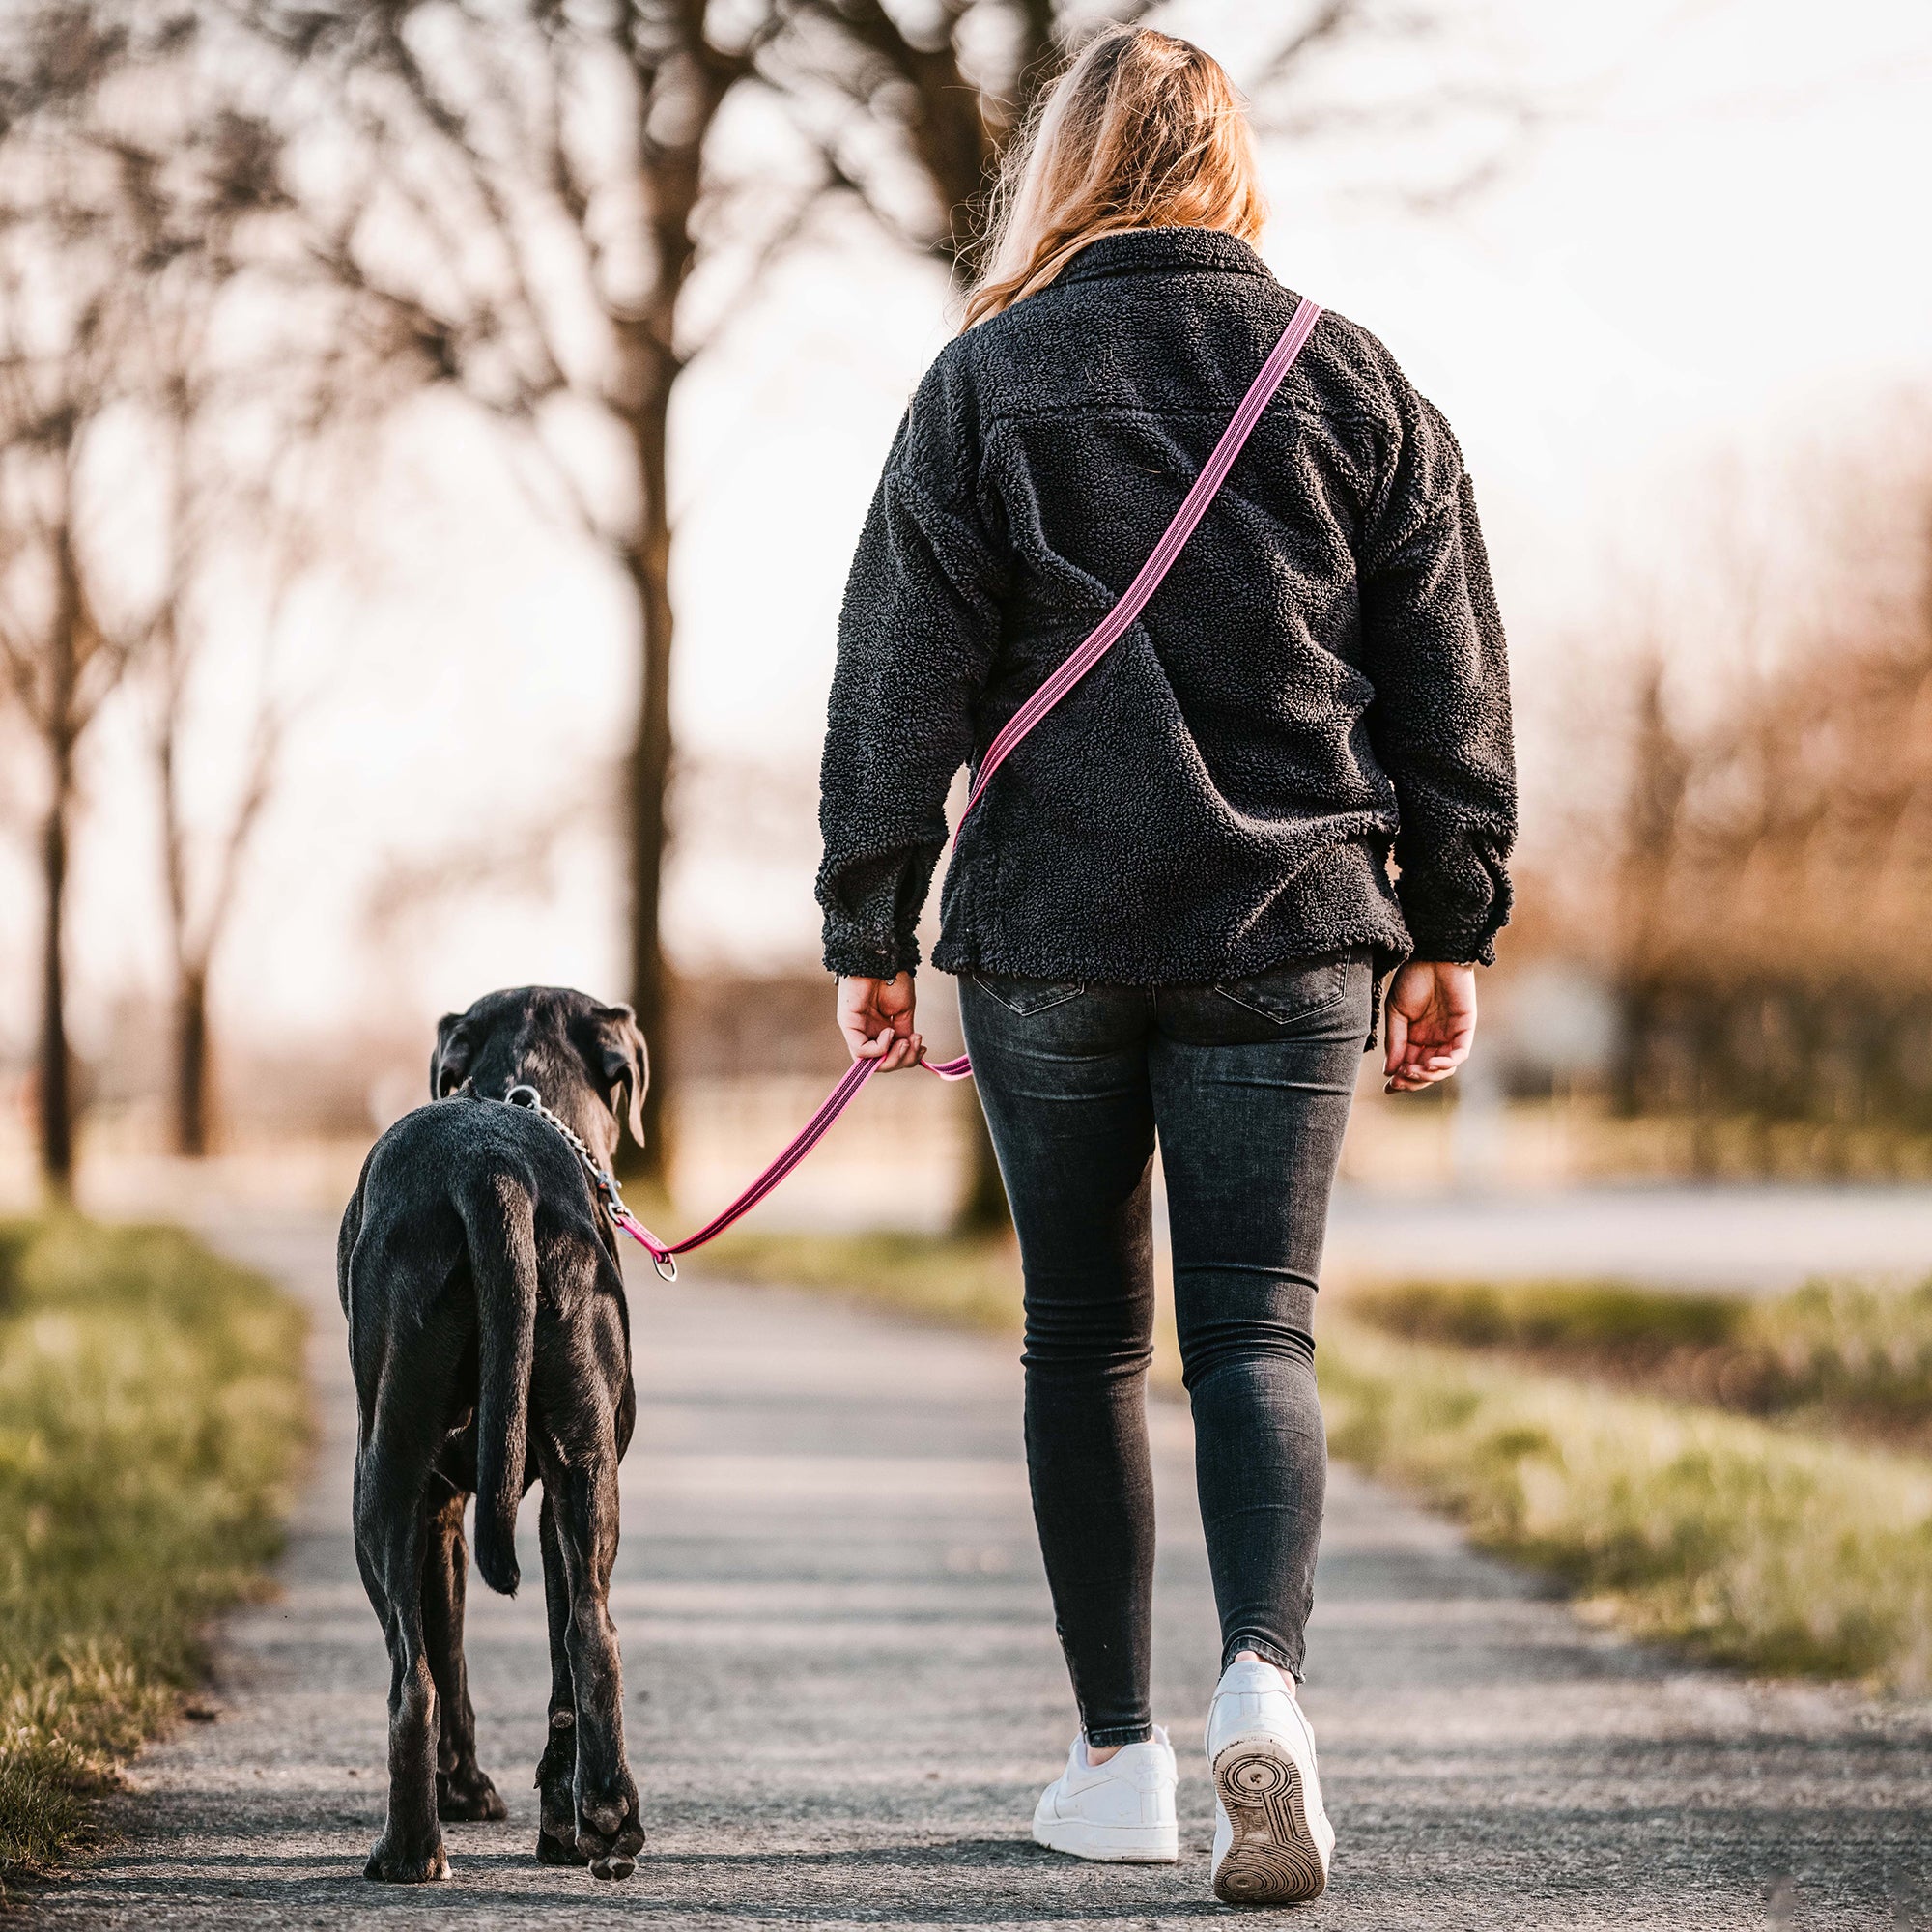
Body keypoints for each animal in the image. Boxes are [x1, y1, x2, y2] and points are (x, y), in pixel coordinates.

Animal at [338, 989, 649, 1878]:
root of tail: (492, 1169)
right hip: (582, 1467)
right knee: (588, 1635)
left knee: (416, 1675)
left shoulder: (442, 1509)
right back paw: (598, 1819)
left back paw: (414, 1848)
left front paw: (469, 1793)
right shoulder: (517, 1501)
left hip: (384, 1477)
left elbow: (451, 1652)